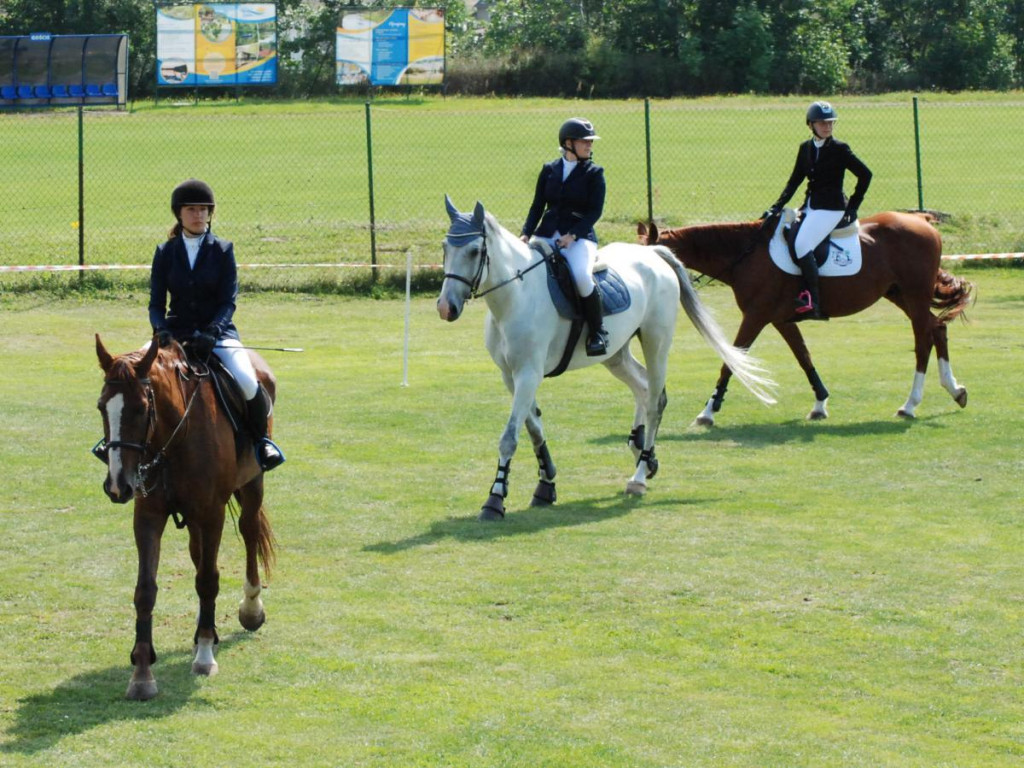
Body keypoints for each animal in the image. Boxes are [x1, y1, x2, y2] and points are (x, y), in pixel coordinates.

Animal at [92, 333, 274, 700]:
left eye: (141, 408)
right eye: (102, 407)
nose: (117, 485)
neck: (173, 437)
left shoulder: (212, 513)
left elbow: (207, 580)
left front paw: (204, 656)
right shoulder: (148, 515)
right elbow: (145, 590)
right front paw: (142, 673)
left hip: (251, 484)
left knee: (248, 532)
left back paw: (250, 609)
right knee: (199, 553)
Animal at [436, 198, 770, 524]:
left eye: (474, 251)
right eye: (445, 247)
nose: (445, 308)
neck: (517, 295)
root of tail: (652, 254)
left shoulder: (528, 374)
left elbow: (510, 437)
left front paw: (495, 500)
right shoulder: (511, 375)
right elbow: (533, 428)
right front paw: (546, 485)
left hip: (656, 342)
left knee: (655, 401)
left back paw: (639, 476)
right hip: (616, 354)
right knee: (642, 387)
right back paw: (644, 454)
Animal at [638, 214, 974, 423]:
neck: (745, 254)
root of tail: (923, 222)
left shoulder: (756, 316)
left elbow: (730, 361)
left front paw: (708, 412)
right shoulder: (780, 320)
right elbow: (804, 357)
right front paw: (820, 404)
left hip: (913, 295)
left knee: (923, 338)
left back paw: (910, 404)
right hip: (899, 294)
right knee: (937, 328)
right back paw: (955, 390)